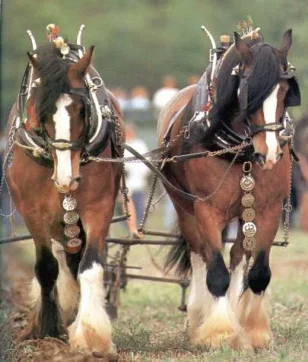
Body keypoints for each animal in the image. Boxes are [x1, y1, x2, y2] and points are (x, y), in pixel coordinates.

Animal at [5, 31, 122, 356]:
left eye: (82, 109)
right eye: (41, 111)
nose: (66, 179)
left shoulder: (99, 207)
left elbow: (90, 266)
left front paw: (92, 335)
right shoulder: (32, 211)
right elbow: (46, 268)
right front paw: (47, 331)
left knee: (75, 262)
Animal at [160, 28, 302, 348]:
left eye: (285, 91)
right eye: (249, 89)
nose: (269, 153)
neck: (240, 151)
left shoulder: (268, 210)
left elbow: (258, 272)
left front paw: (254, 331)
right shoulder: (207, 209)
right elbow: (216, 273)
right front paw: (219, 332)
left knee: (238, 255)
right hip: (184, 206)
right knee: (198, 253)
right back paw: (198, 317)